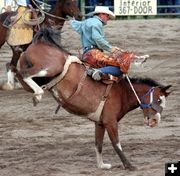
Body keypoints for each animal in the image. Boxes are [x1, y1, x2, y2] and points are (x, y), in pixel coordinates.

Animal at [14, 27, 171, 170]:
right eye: (158, 100)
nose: (155, 121)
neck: (122, 92)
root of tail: (39, 42)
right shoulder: (110, 122)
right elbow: (116, 144)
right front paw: (129, 165)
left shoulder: (100, 123)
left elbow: (98, 144)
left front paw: (102, 165)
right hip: (49, 68)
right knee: (26, 74)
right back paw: (39, 94)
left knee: (20, 74)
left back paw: (35, 95)